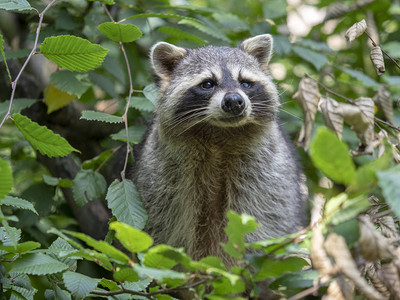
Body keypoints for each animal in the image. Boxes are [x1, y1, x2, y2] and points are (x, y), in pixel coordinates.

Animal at [133, 33, 308, 262]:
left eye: (245, 82)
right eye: (208, 84)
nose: (234, 101)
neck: (220, 134)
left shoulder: (266, 173)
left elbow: (263, 222)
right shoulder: (164, 176)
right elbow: (164, 229)